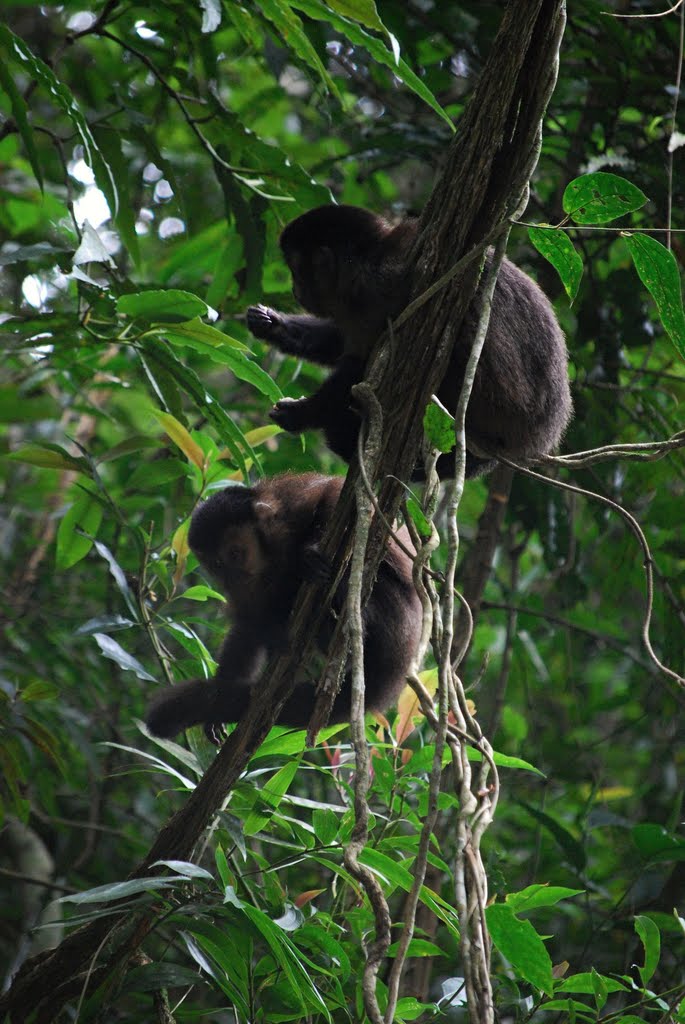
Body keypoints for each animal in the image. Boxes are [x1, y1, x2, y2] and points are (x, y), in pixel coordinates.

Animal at [145, 471, 421, 745]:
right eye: (216, 565)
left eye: (235, 554)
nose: (233, 578)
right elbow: (249, 624)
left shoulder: (294, 500)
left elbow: (338, 498)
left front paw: (307, 554)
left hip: (395, 619)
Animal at [245, 205, 573, 481]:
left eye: (295, 270)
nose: (294, 289)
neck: (365, 260)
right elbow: (340, 340)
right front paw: (274, 325)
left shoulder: (382, 285)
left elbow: (364, 366)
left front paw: (300, 414)